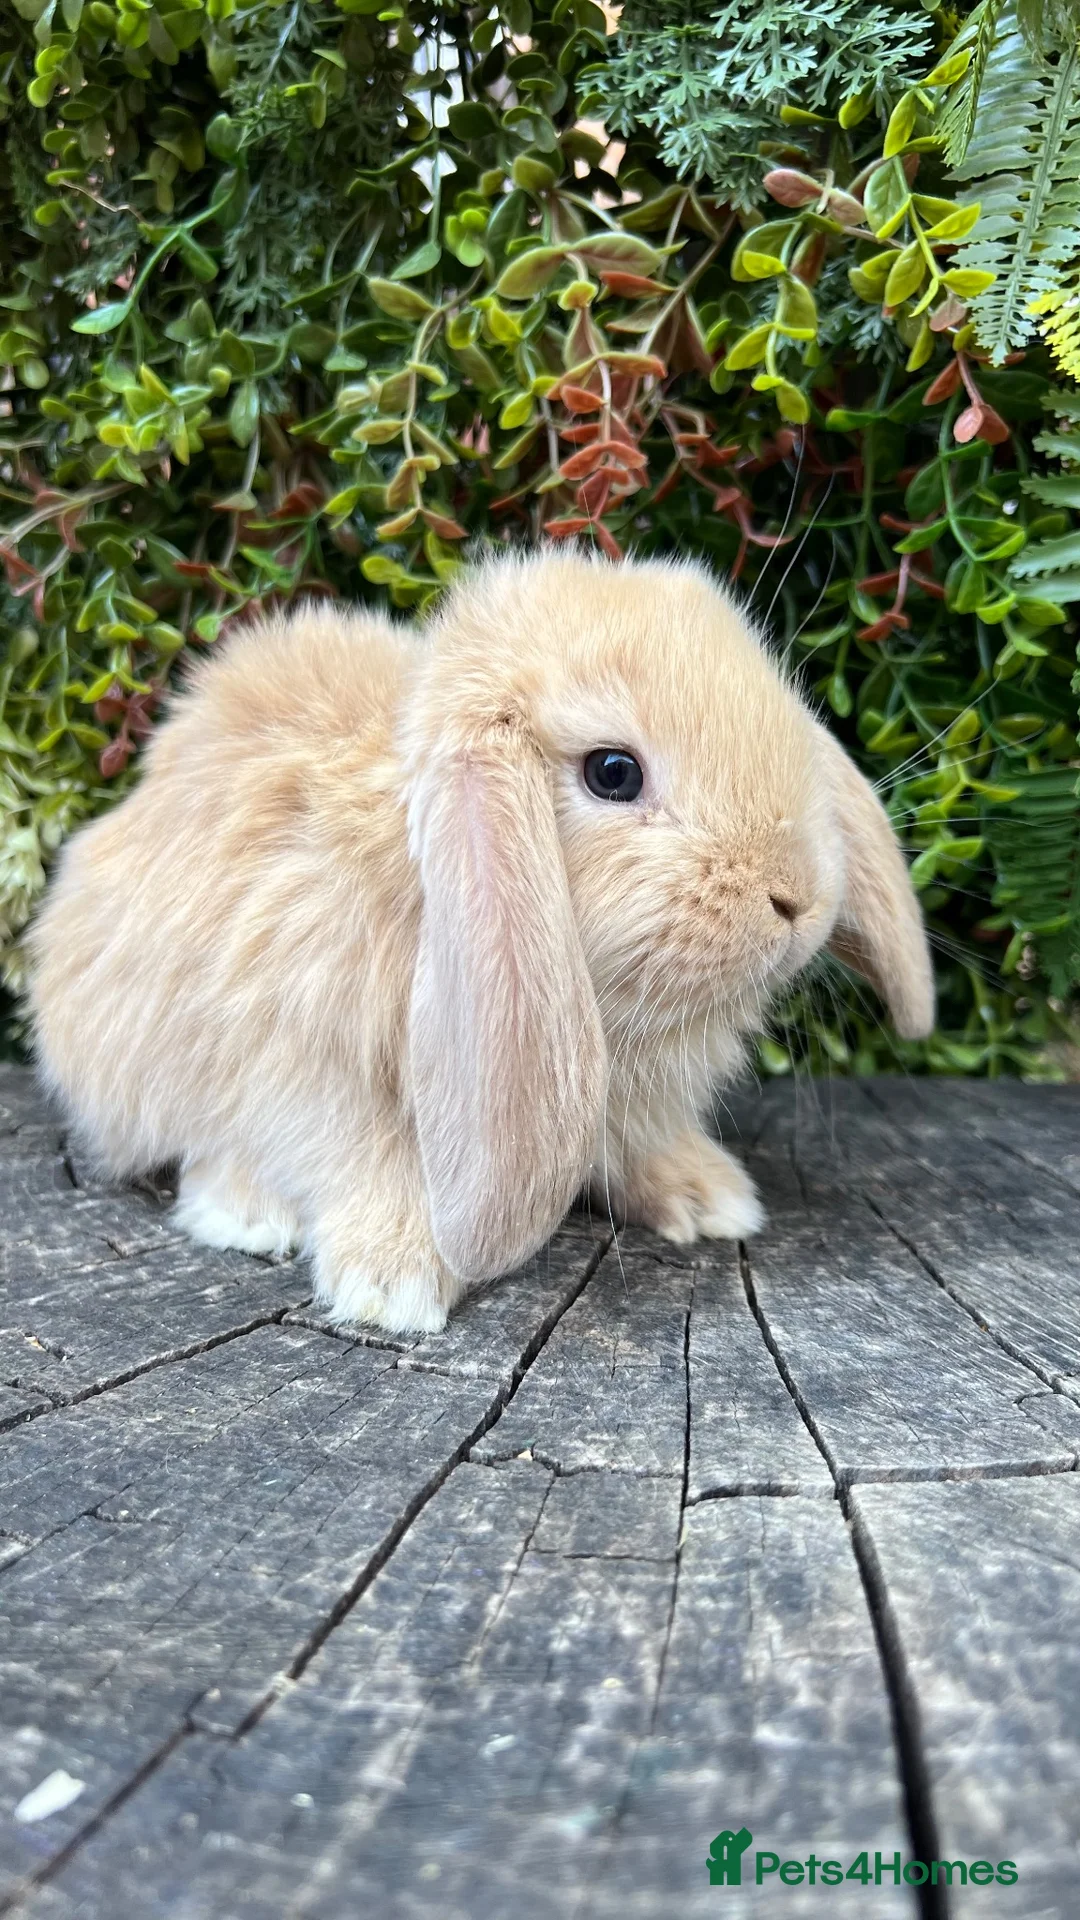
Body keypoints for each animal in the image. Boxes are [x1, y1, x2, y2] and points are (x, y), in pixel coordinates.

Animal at [28, 550, 933, 1333]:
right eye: (612, 772)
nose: (798, 898)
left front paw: (707, 1198)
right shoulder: (303, 1061)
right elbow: (366, 1160)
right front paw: (393, 1282)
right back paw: (246, 1213)